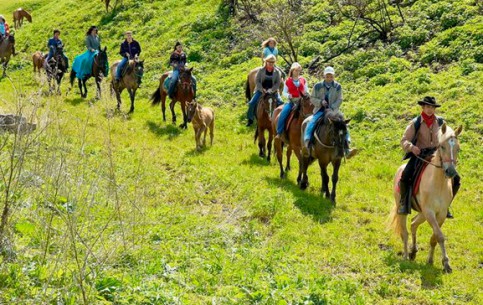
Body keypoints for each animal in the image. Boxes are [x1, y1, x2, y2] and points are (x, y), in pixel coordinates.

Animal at [390, 123, 466, 274]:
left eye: (458, 148)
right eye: (442, 146)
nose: (451, 171)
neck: (438, 183)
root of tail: (400, 169)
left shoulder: (440, 214)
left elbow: (435, 237)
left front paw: (431, 260)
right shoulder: (430, 212)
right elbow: (440, 236)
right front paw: (446, 263)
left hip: (422, 213)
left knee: (413, 224)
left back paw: (413, 252)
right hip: (404, 209)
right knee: (404, 232)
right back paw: (406, 256)